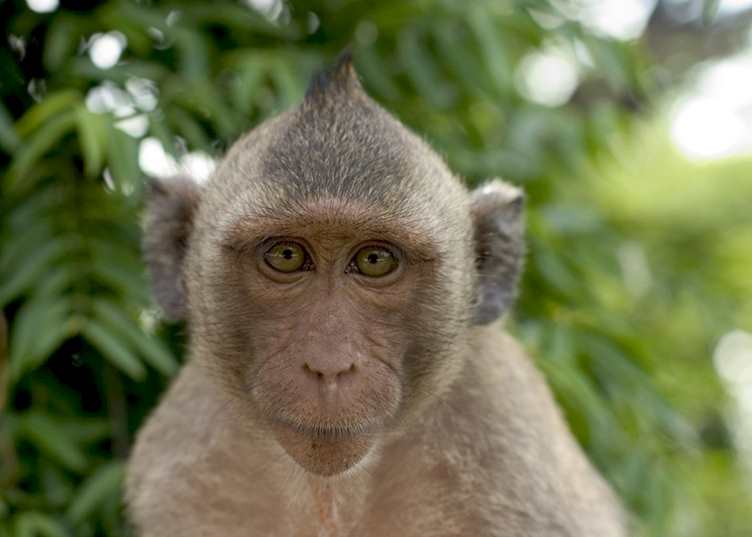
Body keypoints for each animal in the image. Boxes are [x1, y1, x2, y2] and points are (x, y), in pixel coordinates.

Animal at [126, 54, 627, 537]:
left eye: (374, 260)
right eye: (287, 255)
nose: (329, 365)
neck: (331, 495)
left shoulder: (509, 453)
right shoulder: (182, 468)